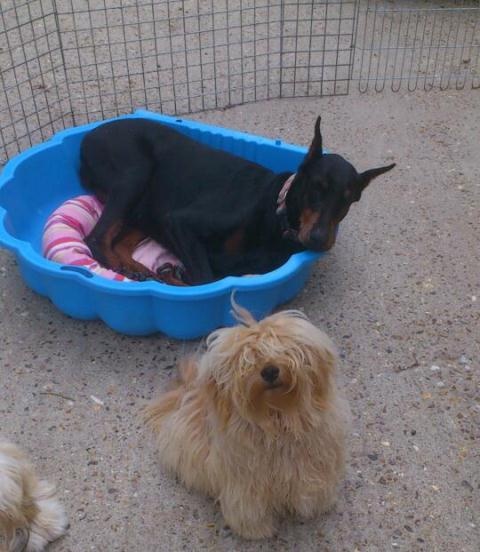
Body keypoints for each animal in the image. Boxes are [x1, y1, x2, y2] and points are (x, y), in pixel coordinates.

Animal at [79, 116, 395, 285]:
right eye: (316, 187)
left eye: (348, 200)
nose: (318, 239)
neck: (274, 214)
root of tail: (87, 137)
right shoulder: (180, 221)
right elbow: (207, 278)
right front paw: (174, 275)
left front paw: (173, 273)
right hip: (135, 175)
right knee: (96, 237)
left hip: (147, 209)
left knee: (119, 240)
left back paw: (136, 269)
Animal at [143, 304, 350, 539]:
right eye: (248, 360)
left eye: (281, 350)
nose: (270, 370)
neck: (277, 418)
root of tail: (187, 391)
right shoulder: (245, 485)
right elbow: (249, 508)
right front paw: (256, 530)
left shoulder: (315, 465)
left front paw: (317, 505)